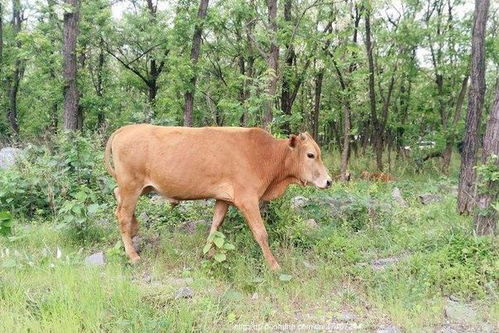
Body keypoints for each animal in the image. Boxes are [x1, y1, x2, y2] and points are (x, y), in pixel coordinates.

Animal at [104, 123, 332, 268]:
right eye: (311, 155)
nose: (329, 181)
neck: (266, 156)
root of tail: (126, 128)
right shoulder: (247, 199)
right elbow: (261, 233)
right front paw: (274, 265)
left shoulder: (224, 198)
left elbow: (215, 226)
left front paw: (209, 252)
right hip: (131, 185)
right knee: (123, 216)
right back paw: (133, 255)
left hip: (137, 187)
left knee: (118, 199)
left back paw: (134, 230)